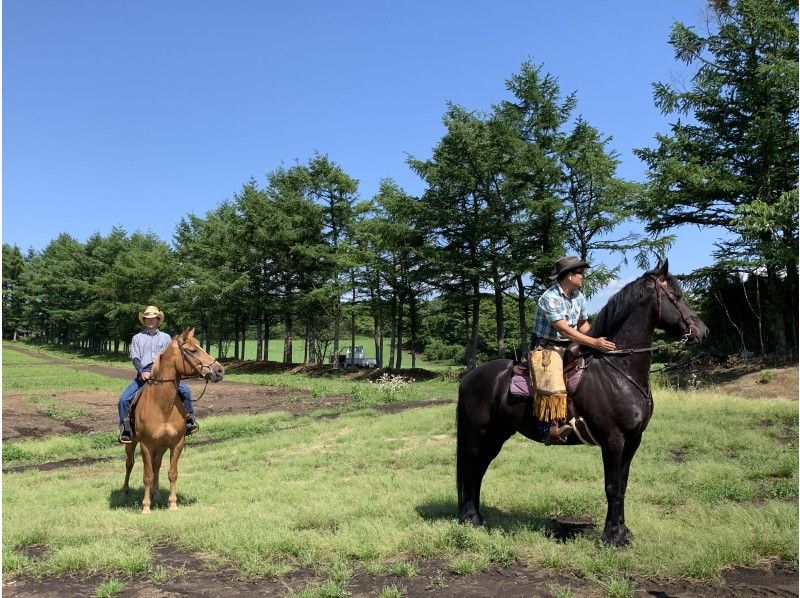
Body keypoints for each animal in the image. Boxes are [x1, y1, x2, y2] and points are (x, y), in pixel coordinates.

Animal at [122, 328, 223, 516]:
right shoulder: (146, 445)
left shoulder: (176, 443)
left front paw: (172, 503)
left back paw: (157, 493)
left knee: (156, 465)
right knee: (129, 463)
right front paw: (146, 507)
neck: (162, 405)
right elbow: (147, 476)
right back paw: (125, 491)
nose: (220, 371)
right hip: (131, 443)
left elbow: (172, 473)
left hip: (161, 446)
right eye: (192, 350)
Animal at [454, 262, 708, 548]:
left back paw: (476, 517)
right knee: (472, 470)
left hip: (497, 435)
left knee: (479, 470)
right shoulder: (613, 439)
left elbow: (623, 484)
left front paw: (623, 531)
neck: (619, 370)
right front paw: (612, 537)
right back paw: (471, 519)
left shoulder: (633, 439)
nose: (703, 331)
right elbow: (612, 487)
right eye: (676, 297)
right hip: (479, 435)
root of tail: (469, 378)